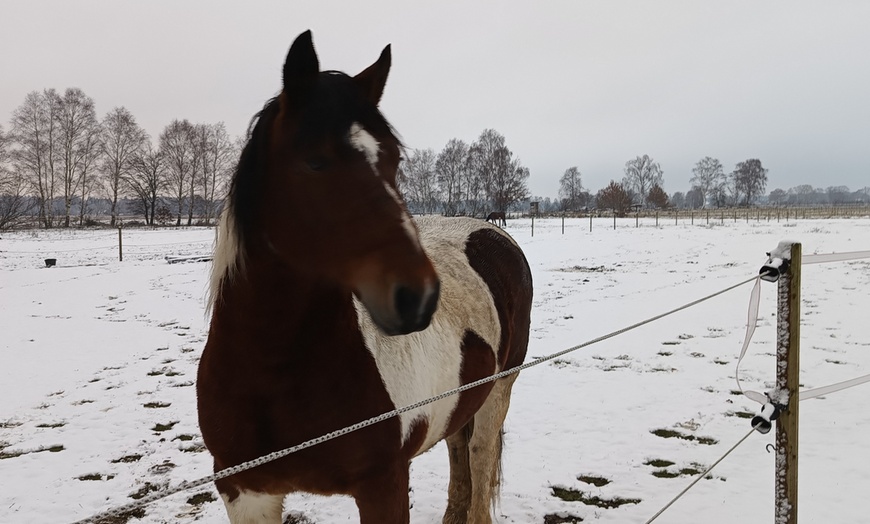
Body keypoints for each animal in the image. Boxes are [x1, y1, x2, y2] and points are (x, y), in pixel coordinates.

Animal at [198, 29, 536, 524]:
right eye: (314, 161)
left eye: (394, 159)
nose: (418, 296)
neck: (275, 373)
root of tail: (496, 235)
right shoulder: (245, 491)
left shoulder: (384, 484)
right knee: (458, 449)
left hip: (498, 392)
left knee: (478, 456)